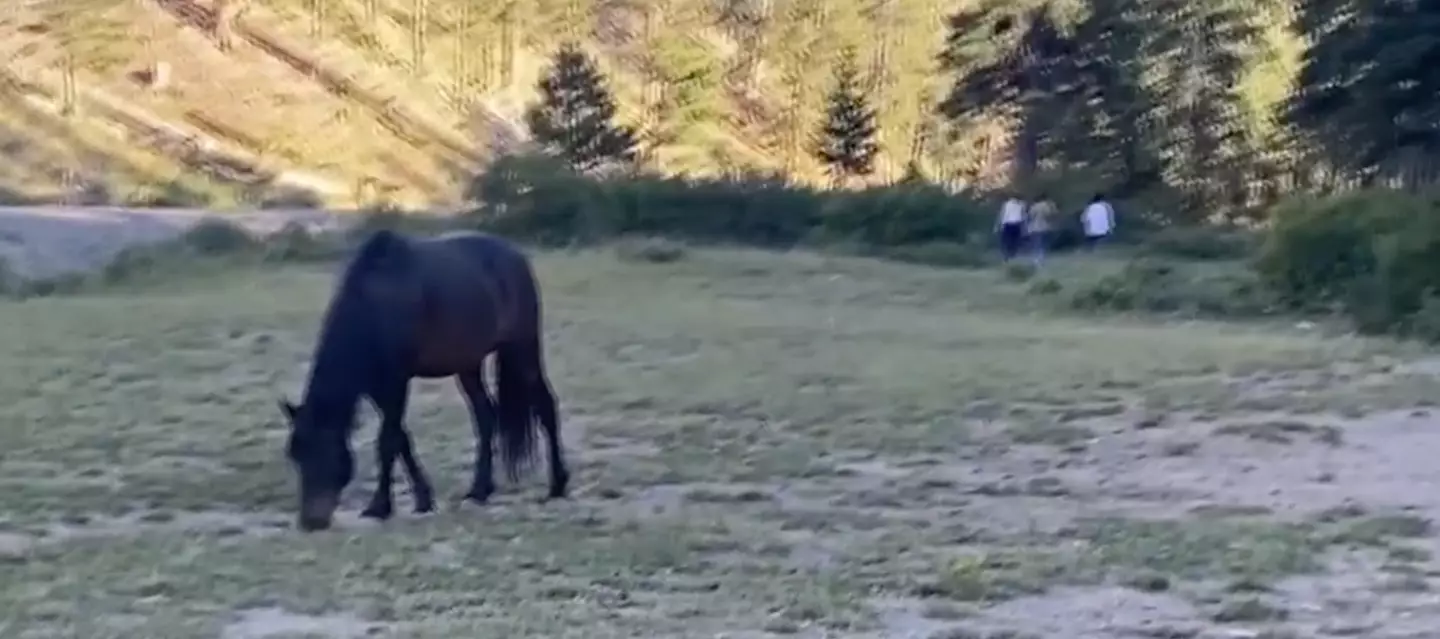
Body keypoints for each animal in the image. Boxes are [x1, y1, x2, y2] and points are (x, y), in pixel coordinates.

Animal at [278, 228, 569, 532]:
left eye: (323, 452)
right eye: (295, 455)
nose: (310, 521)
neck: (373, 309)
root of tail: (515, 256)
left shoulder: (396, 382)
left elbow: (387, 441)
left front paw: (379, 506)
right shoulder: (377, 387)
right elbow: (401, 438)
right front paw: (423, 499)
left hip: (522, 348)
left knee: (545, 406)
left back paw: (557, 485)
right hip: (468, 365)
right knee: (485, 416)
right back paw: (480, 490)